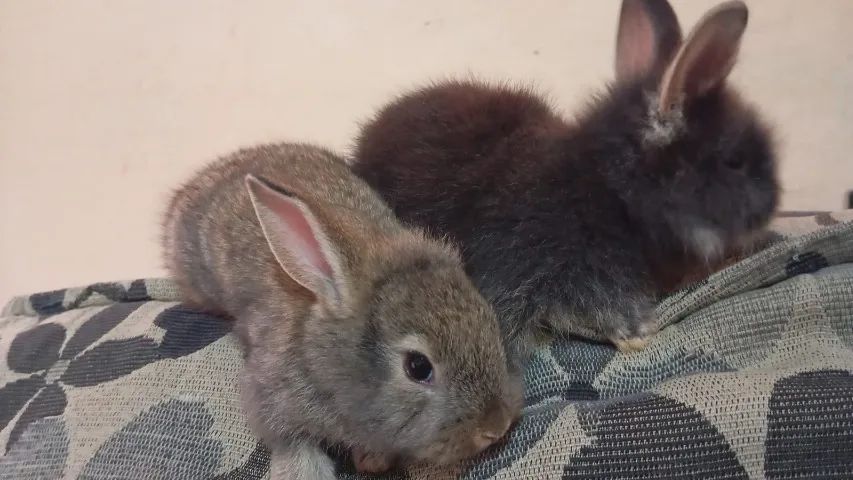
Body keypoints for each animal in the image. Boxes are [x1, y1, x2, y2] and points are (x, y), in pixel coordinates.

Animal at [162, 143, 522, 479]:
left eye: (490, 323)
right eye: (418, 367)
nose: (496, 426)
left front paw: (371, 460)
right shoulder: (270, 398)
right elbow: (294, 445)